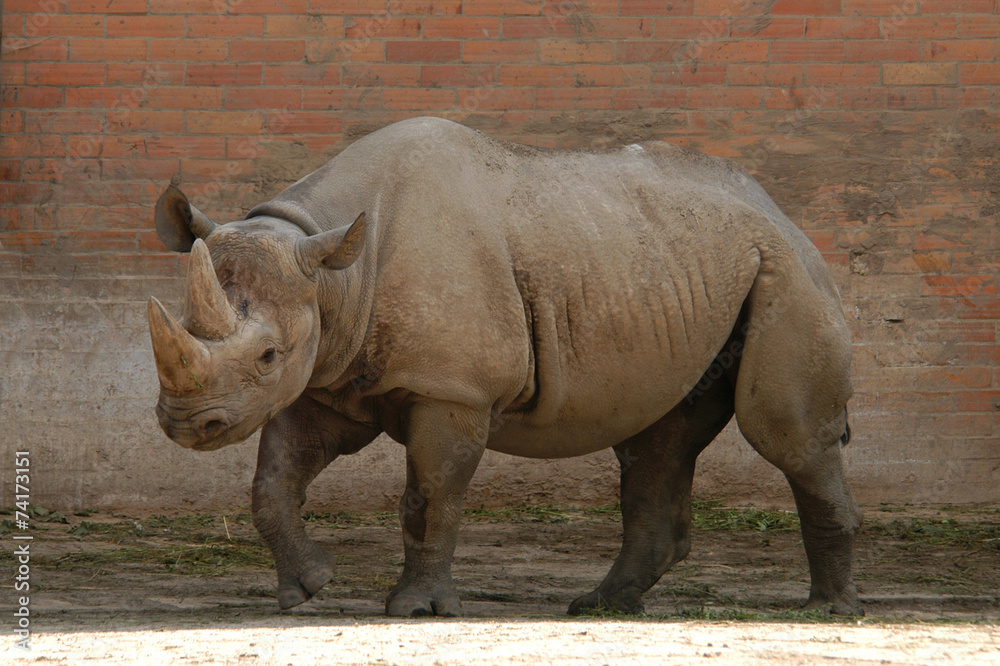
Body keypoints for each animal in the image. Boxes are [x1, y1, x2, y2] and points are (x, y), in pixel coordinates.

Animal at [148, 116, 862, 617]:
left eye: (268, 354)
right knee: (658, 440)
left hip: (787, 272)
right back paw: (601, 607)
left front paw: (418, 610)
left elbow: (430, 494)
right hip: (672, 263)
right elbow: (273, 483)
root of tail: (780, 210)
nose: (185, 424)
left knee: (787, 436)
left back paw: (827, 611)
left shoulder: (452, 390)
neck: (333, 272)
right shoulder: (326, 378)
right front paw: (307, 588)